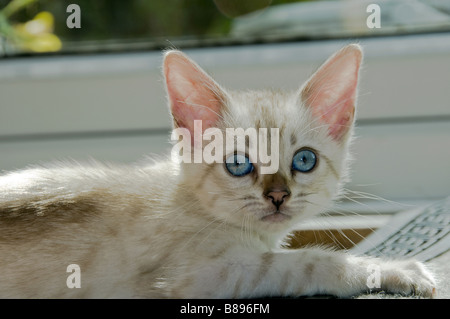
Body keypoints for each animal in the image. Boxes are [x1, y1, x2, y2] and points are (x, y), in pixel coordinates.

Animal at [0, 43, 436, 298]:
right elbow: (310, 262)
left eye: (304, 160)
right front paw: (399, 271)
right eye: (239, 164)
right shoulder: (197, 276)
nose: (278, 196)